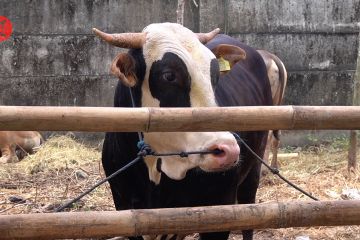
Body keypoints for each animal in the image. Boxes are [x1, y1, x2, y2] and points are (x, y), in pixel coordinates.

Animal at [97, 23, 272, 240]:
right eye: (169, 75)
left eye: (215, 76)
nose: (228, 150)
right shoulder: (125, 207)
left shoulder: (221, 206)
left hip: (254, 168)